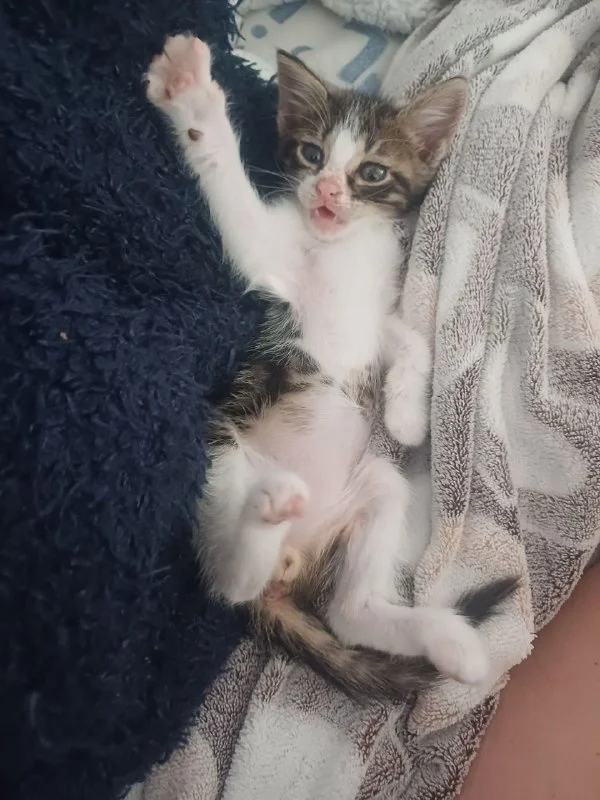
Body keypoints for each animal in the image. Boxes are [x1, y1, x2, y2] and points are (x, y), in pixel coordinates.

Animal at [145, 35, 517, 699]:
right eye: (311, 153)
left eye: (371, 171)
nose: (324, 192)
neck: (344, 244)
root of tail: (292, 563)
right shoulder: (272, 261)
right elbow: (230, 187)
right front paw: (193, 92)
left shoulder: (375, 318)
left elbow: (412, 341)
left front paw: (405, 419)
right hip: (223, 451)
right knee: (228, 583)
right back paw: (264, 517)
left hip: (377, 486)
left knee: (349, 612)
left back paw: (453, 644)